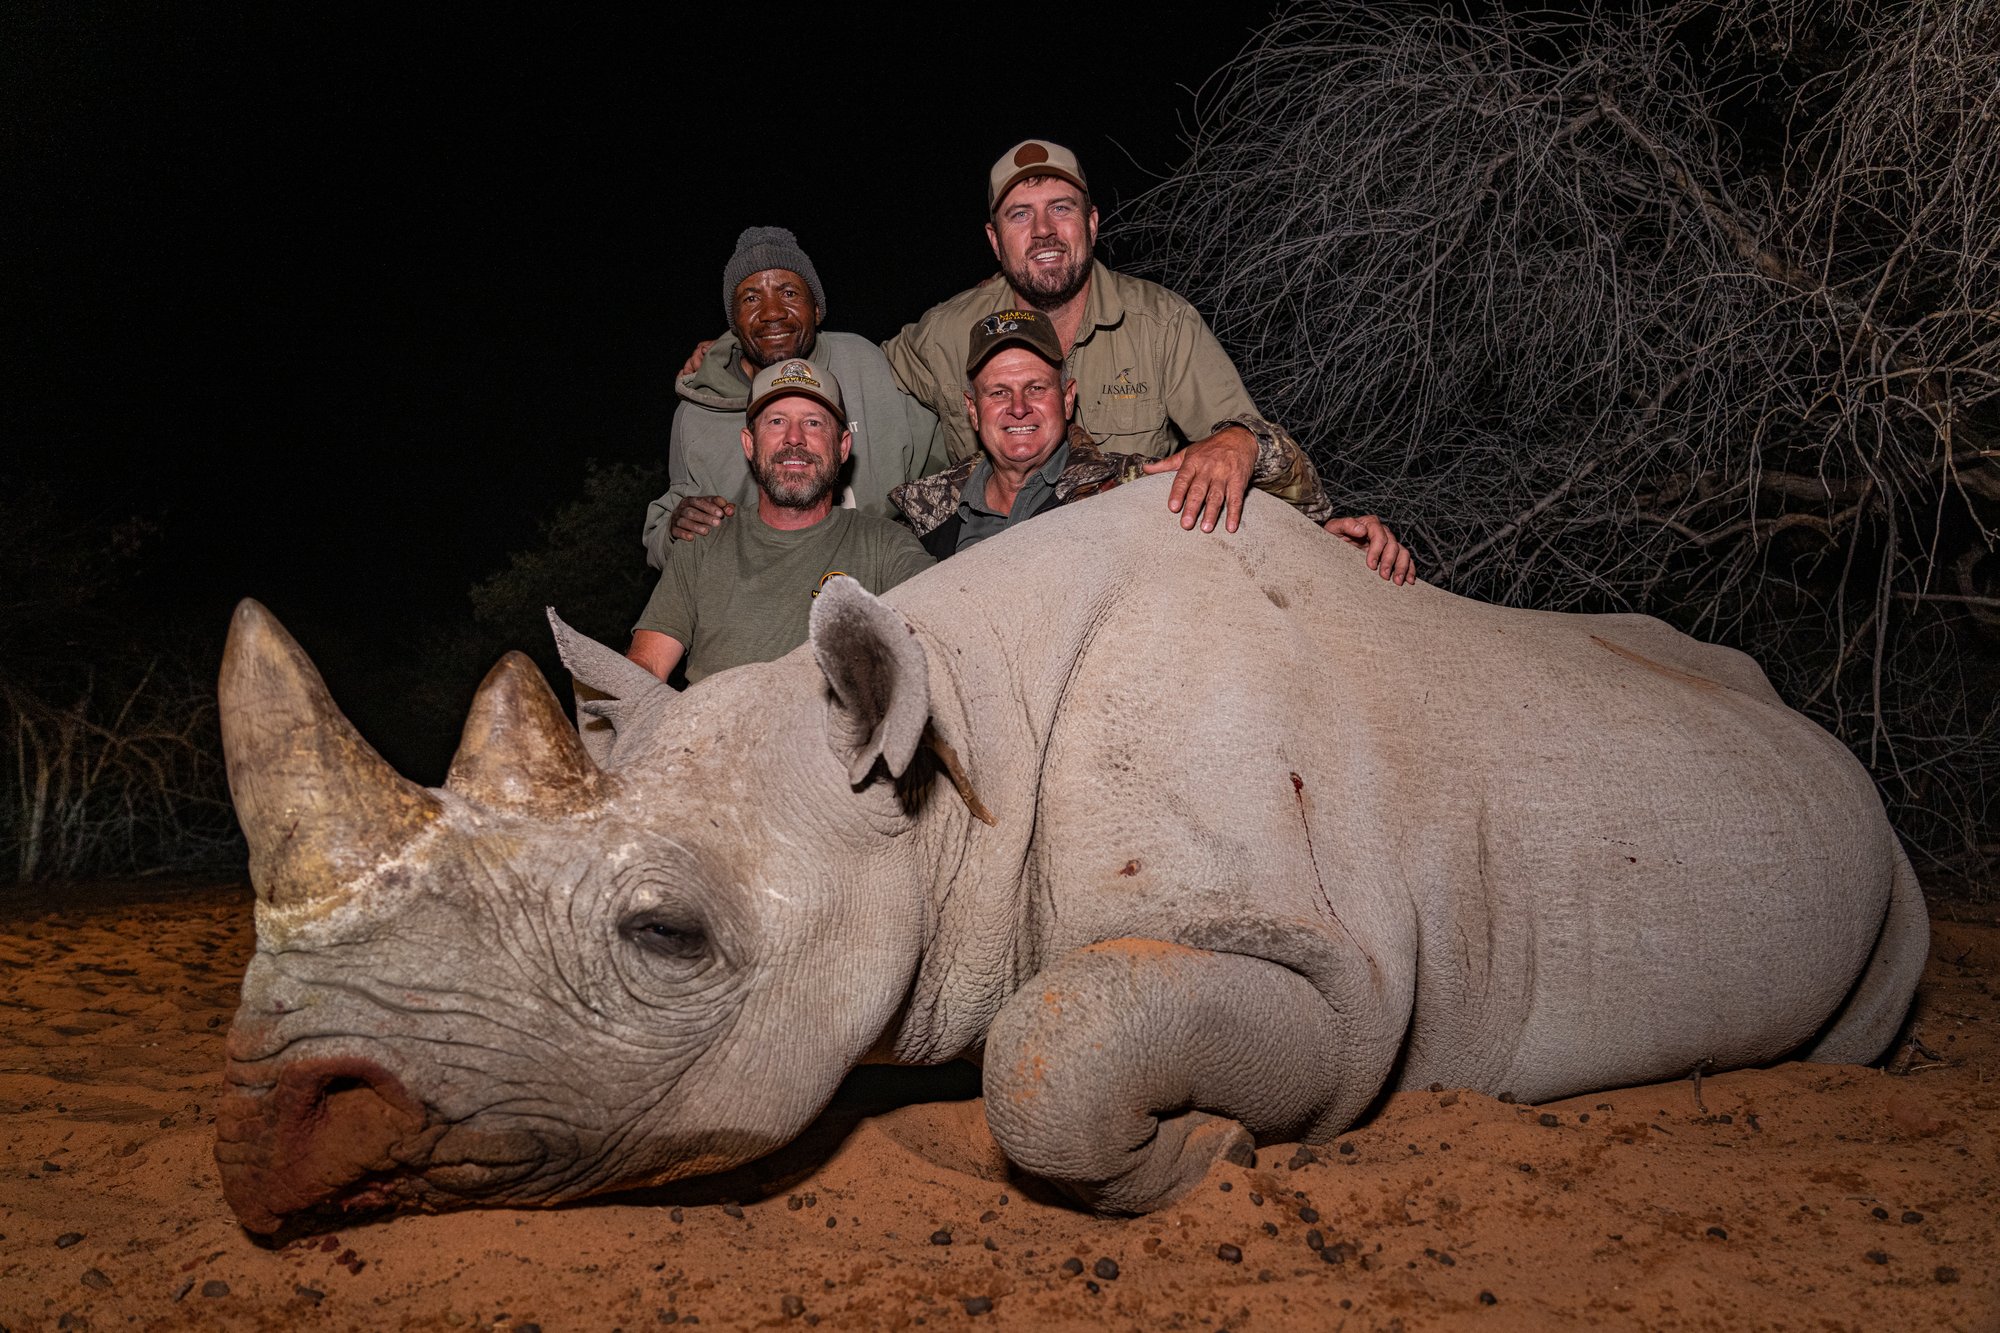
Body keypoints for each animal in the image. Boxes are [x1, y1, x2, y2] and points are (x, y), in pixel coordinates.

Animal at [213, 478, 1927, 1234]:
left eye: (666, 936)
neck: (948, 763)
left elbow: (1052, 1045)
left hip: (1875, 839)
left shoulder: (1329, 970)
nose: (268, 1127)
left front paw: (1205, 1149)